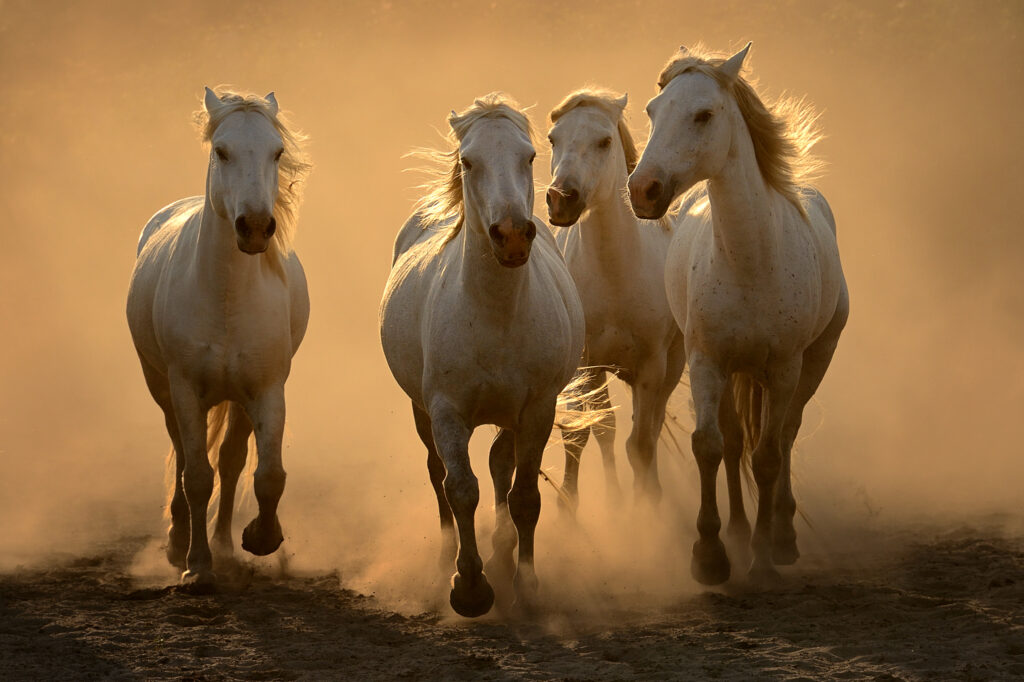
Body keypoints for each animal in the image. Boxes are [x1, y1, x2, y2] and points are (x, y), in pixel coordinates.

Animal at [126, 88, 311, 590]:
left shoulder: (267, 389)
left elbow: (267, 473)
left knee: (230, 461)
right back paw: (178, 543)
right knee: (182, 456)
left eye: (277, 152)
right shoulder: (184, 389)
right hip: (162, 388)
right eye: (221, 151)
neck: (227, 297)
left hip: (239, 399)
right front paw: (197, 566)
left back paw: (227, 545)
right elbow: (195, 476)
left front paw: (259, 539)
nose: (255, 227)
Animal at [379, 93, 586, 617]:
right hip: (421, 410)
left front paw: (525, 584)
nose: (510, 235)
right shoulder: (446, 411)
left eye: (529, 157)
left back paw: (502, 551)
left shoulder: (536, 409)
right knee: (438, 473)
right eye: (468, 161)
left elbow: (524, 495)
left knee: (499, 465)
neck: (494, 316)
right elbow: (460, 488)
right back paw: (448, 556)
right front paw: (469, 587)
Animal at [545, 89, 687, 511]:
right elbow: (584, 432)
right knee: (606, 428)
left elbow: (641, 443)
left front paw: (647, 506)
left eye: (604, 141)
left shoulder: (652, 366)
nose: (561, 199)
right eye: (553, 139)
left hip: (671, 364)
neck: (615, 275)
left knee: (651, 424)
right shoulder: (585, 366)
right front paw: (570, 506)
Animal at [628, 43, 848, 584]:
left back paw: (783, 535)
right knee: (732, 442)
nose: (643, 190)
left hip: (813, 361)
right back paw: (738, 530)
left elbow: (768, 455)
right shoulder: (707, 362)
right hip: (732, 372)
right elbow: (710, 445)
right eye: (652, 111)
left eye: (704, 114)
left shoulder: (785, 367)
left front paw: (764, 557)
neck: (751, 260)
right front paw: (709, 554)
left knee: (786, 435)